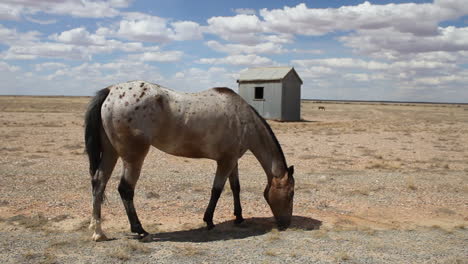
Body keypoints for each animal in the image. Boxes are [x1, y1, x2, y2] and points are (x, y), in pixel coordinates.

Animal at [85, 80, 296, 241]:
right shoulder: (225, 162)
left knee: (99, 183)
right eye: (291, 194)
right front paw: (209, 220)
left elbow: (235, 188)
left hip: (111, 153)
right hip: (134, 157)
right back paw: (139, 229)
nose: (286, 224)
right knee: (125, 189)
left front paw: (239, 217)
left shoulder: (232, 161)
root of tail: (111, 91)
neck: (243, 120)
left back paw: (98, 232)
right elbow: (216, 190)